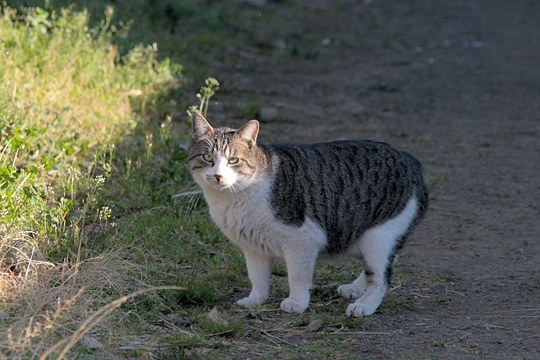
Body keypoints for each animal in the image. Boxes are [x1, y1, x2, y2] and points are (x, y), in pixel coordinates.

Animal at [188, 113, 428, 318]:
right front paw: (256, 299)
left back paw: (364, 304)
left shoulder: (302, 241)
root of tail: (410, 159)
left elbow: (297, 276)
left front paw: (297, 302)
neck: (232, 198)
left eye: (233, 161)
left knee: (381, 277)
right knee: (384, 264)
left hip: (379, 236)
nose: (218, 176)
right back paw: (355, 288)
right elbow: (257, 277)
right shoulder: (254, 247)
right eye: (207, 157)